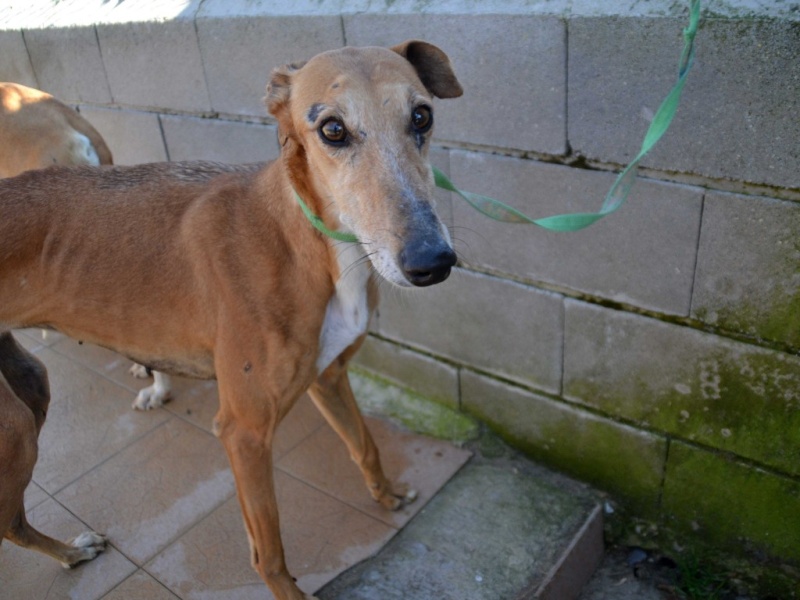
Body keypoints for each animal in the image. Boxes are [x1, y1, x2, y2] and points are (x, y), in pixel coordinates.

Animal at [0, 39, 462, 596]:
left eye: (422, 116)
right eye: (332, 129)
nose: (432, 261)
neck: (303, 239)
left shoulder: (329, 377)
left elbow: (365, 446)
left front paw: (388, 496)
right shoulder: (243, 431)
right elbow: (269, 554)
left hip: (29, 382)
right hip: (14, 431)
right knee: (8, 521)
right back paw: (71, 552)